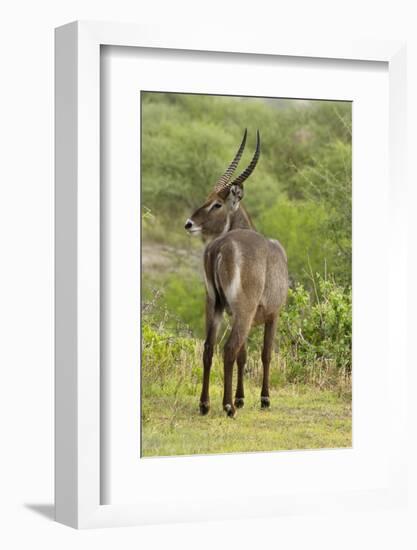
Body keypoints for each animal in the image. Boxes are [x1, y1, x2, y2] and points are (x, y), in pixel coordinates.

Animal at [184, 130, 288, 418]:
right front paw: (263, 398)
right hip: (242, 308)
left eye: (216, 204)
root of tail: (219, 247)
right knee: (228, 348)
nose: (188, 224)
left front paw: (242, 397)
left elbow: (244, 354)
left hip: (214, 304)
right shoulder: (272, 314)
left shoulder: (244, 316)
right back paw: (227, 406)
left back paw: (205, 404)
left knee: (209, 347)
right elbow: (264, 353)